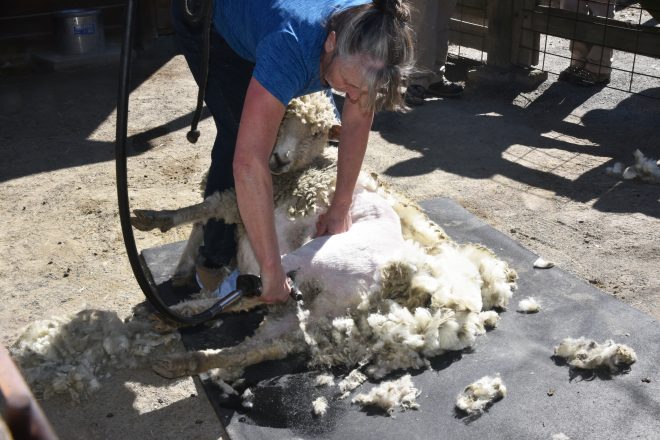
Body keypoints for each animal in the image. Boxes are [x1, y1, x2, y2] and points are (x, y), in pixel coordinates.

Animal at [129, 89, 520, 388]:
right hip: (313, 317)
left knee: (249, 293)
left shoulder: (241, 202)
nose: (279, 158)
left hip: (307, 261)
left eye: (315, 133)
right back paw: (187, 360)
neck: (304, 169)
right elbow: (203, 215)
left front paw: (156, 221)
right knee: (264, 346)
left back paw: (175, 315)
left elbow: (203, 208)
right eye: (284, 120)